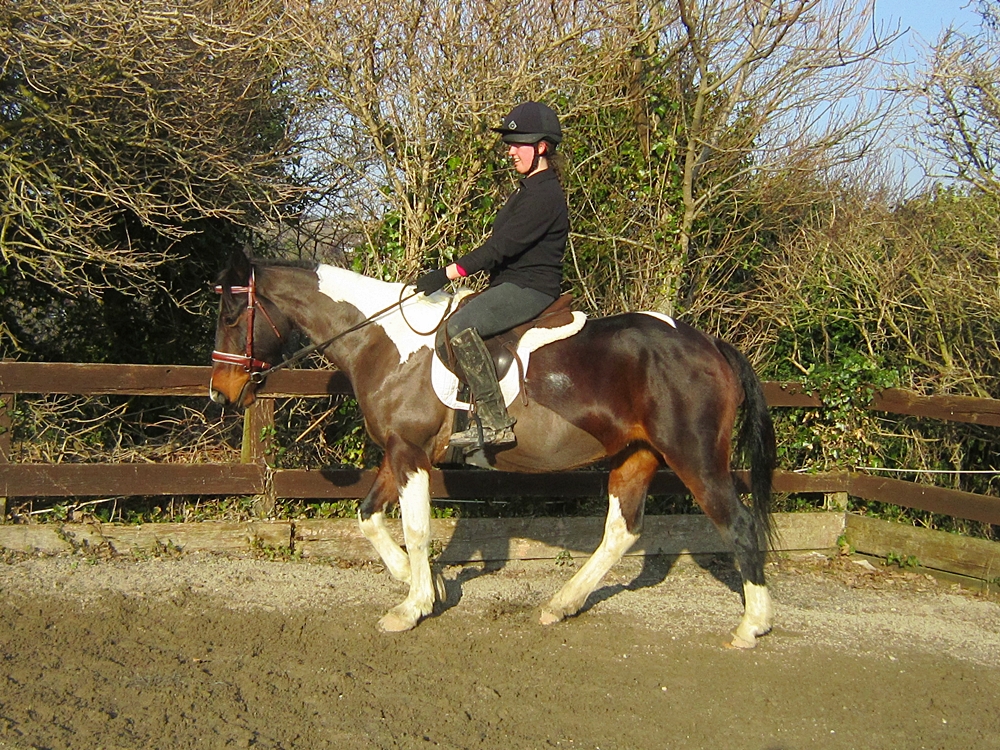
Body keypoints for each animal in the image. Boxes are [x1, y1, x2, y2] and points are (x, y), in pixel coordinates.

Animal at [209, 251, 777, 648]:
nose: (221, 393)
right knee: (621, 531)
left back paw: (751, 626)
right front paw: (423, 582)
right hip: (636, 454)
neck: (384, 342)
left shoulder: (410, 451)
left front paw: (413, 606)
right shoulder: (397, 451)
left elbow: (416, 529)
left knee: (738, 523)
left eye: (233, 315)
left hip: (695, 458)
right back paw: (562, 604)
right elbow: (369, 516)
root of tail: (710, 345)